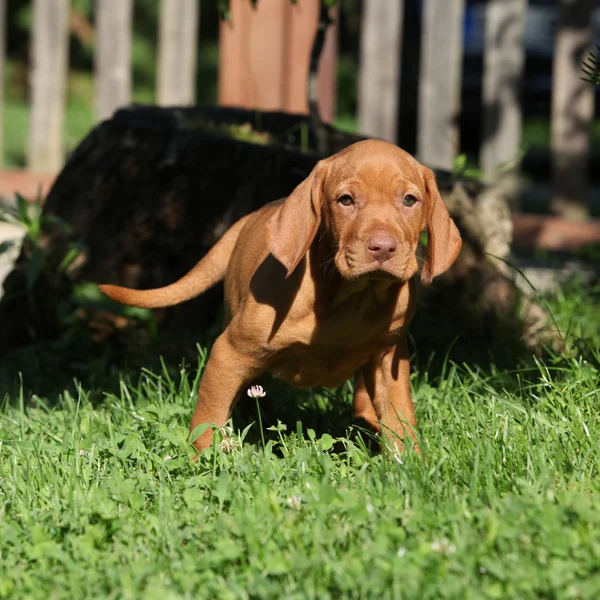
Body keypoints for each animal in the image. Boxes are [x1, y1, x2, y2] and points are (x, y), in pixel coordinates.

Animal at [101, 138, 462, 452]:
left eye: (409, 200)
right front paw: (201, 464)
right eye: (345, 200)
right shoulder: (228, 354)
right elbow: (207, 420)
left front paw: (408, 467)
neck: (350, 298)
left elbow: (401, 420)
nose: (383, 248)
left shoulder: (390, 359)